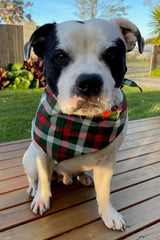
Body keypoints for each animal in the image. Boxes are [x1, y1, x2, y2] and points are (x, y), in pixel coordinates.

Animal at [22, 17, 144, 232]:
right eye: (60, 57)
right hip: (30, 160)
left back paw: (83, 177)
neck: (80, 125)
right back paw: (32, 190)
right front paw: (42, 199)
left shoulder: (106, 163)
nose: (89, 82)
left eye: (111, 54)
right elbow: (44, 181)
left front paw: (108, 214)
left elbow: (104, 192)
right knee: (34, 178)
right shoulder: (42, 155)